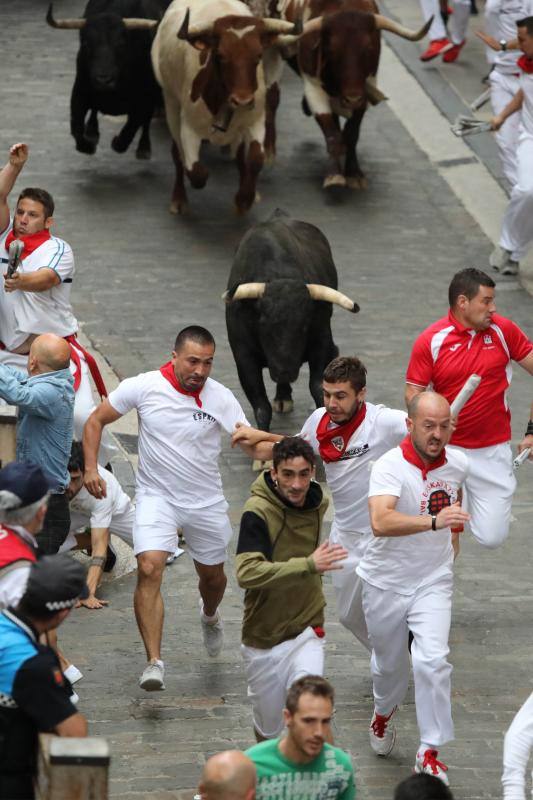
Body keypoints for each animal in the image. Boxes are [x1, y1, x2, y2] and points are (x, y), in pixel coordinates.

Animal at [223, 209, 358, 428]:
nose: (284, 371)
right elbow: (261, 404)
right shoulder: (243, 356)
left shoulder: (321, 342)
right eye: (264, 325)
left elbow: (318, 387)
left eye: (304, 326)